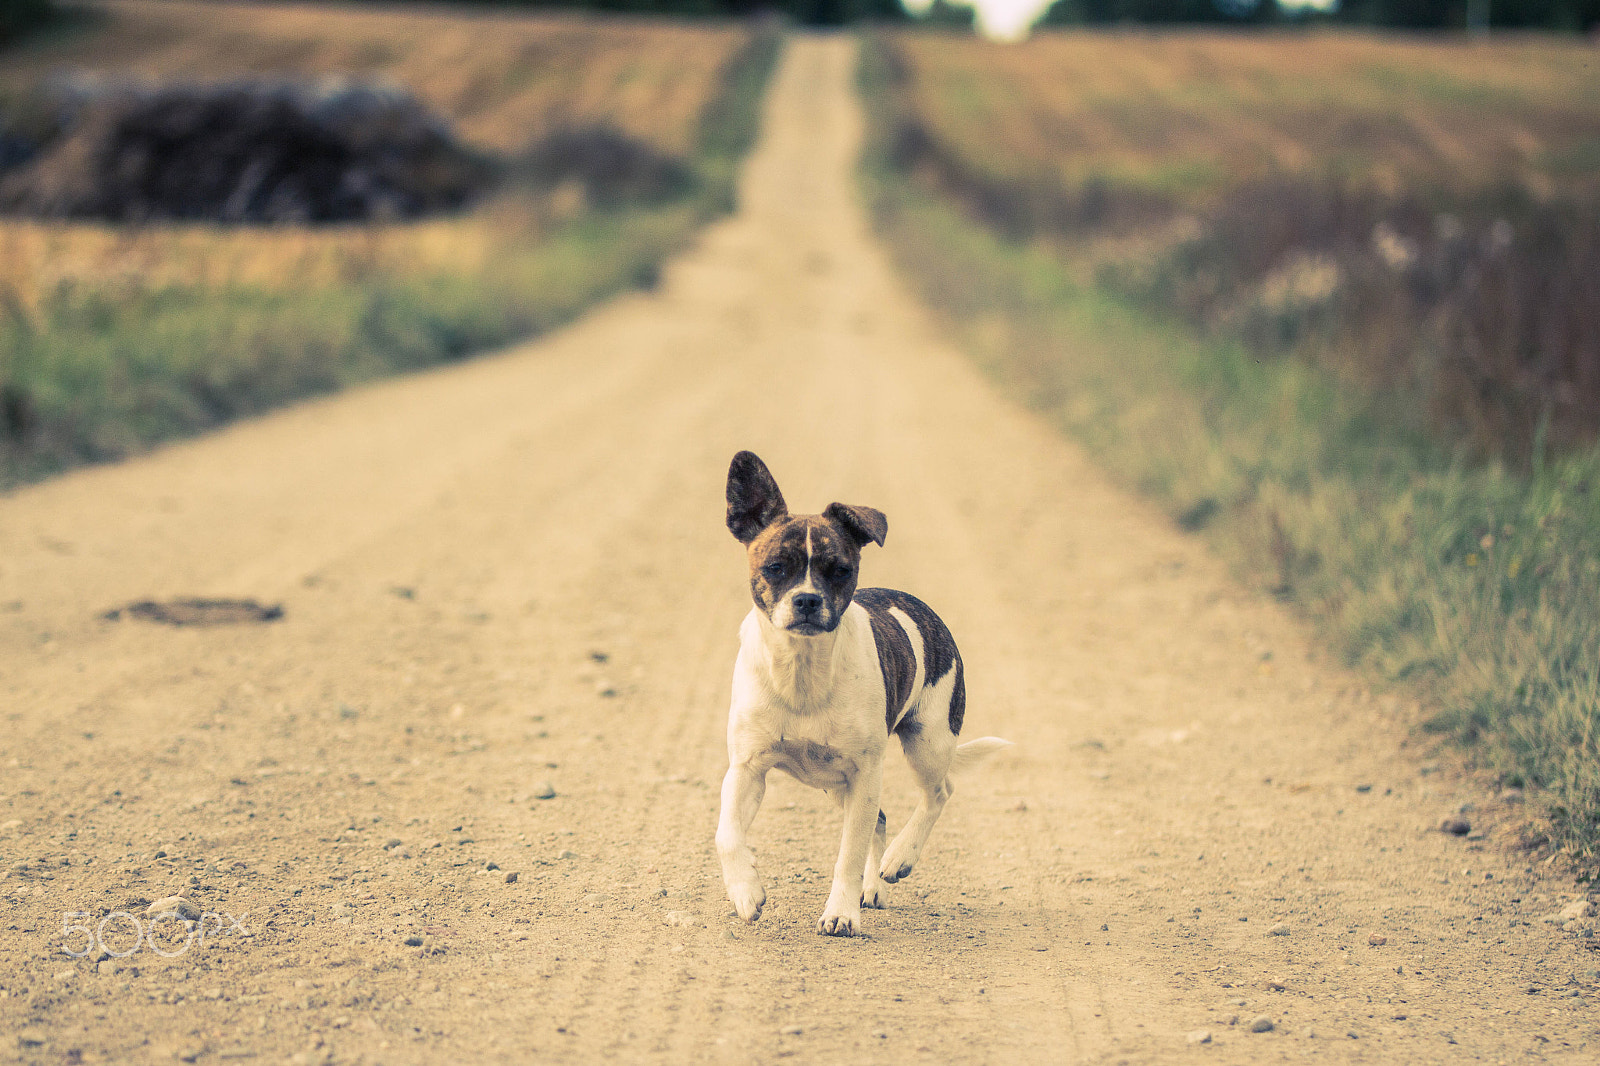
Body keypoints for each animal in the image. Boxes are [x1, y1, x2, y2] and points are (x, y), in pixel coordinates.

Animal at [716, 451, 1011, 934]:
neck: (802, 669)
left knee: (938, 792)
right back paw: (873, 886)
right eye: (776, 567)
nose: (808, 600)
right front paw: (746, 892)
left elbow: (847, 856)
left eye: (840, 570)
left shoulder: (864, 773)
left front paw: (840, 913)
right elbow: (726, 835)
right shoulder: (746, 769)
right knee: (883, 818)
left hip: (926, 743)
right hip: (839, 783)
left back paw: (898, 860)